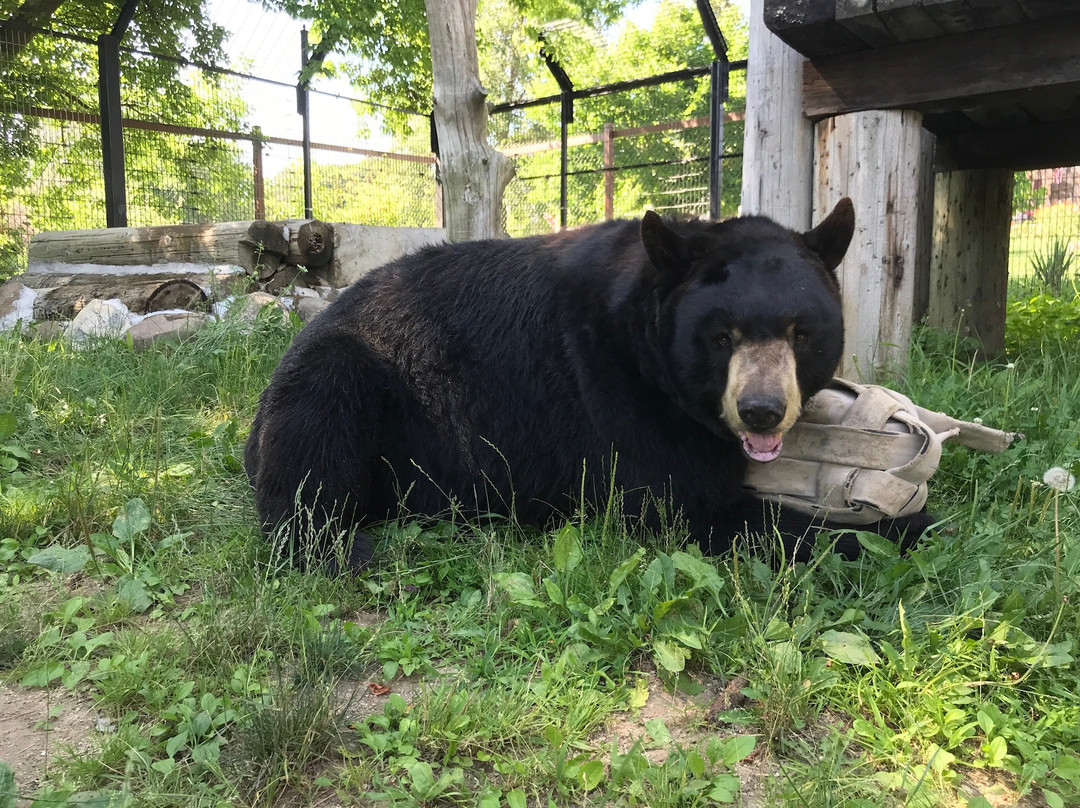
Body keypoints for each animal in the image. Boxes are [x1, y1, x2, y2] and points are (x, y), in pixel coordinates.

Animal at [244, 198, 931, 571]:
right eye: (721, 336)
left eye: (800, 333)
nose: (760, 410)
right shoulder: (611, 388)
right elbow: (681, 501)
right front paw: (903, 524)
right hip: (345, 373)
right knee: (312, 451)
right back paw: (347, 547)